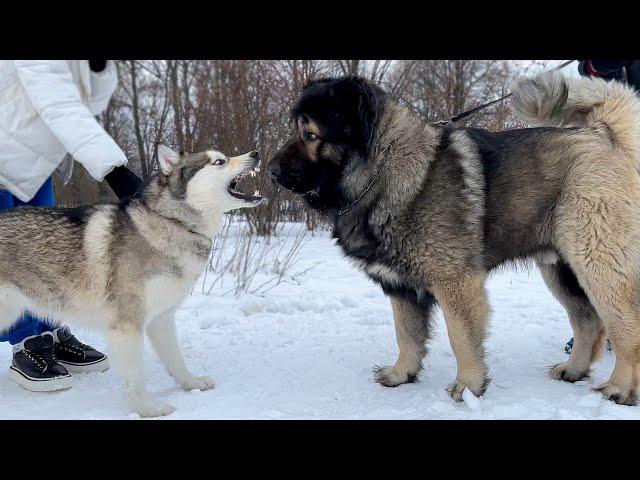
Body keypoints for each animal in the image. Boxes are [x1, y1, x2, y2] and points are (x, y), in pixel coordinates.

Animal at [0, 144, 262, 414]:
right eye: (219, 162)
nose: (256, 154)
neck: (173, 222)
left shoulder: (161, 318)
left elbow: (176, 359)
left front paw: (191, 384)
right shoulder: (127, 326)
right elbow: (135, 378)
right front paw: (148, 410)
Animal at [268, 70, 640, 404]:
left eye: (311, 135)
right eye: (295, 130)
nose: (271, 171)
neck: (385, 170)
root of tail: (604, 136)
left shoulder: (455, 283)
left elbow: (460, 337)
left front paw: (469, 386)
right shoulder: (400, 286)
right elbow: (406, 335)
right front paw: (401, 374)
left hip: (596, 264)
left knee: (624, 327)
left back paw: (620, 389)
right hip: (560, 269)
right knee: (588, 322)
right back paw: (573, 370)